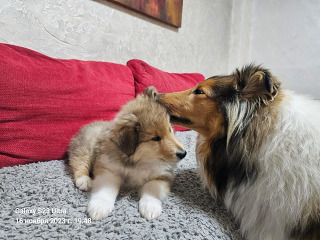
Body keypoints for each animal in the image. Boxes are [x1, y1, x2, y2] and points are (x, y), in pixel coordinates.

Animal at [69, 86, 186, 221]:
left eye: (170, 130)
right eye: (155, 138)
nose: (183, 153)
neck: (140, 161)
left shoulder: (162, 175)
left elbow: (151, 187)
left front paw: (150, 208)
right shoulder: (108, 169)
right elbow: (106, 189)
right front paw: (99, 207)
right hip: (86, 145)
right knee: (78, 161)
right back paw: (84, 181)